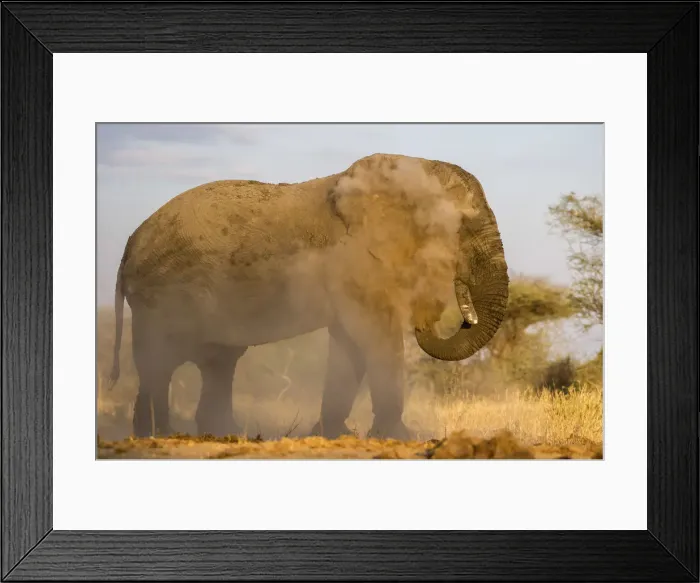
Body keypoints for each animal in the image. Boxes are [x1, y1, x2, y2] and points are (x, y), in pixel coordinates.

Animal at [107, 153, 509, 440]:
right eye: (464, 227)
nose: (434, 315)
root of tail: (128, 244)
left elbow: (349, 348)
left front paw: (335, 435)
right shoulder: (354, 260)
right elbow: (374, 336)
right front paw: (400, 438)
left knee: (216, 363)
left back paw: (219, 433)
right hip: (159, 294)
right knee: (160, 362)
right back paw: (160, 435)